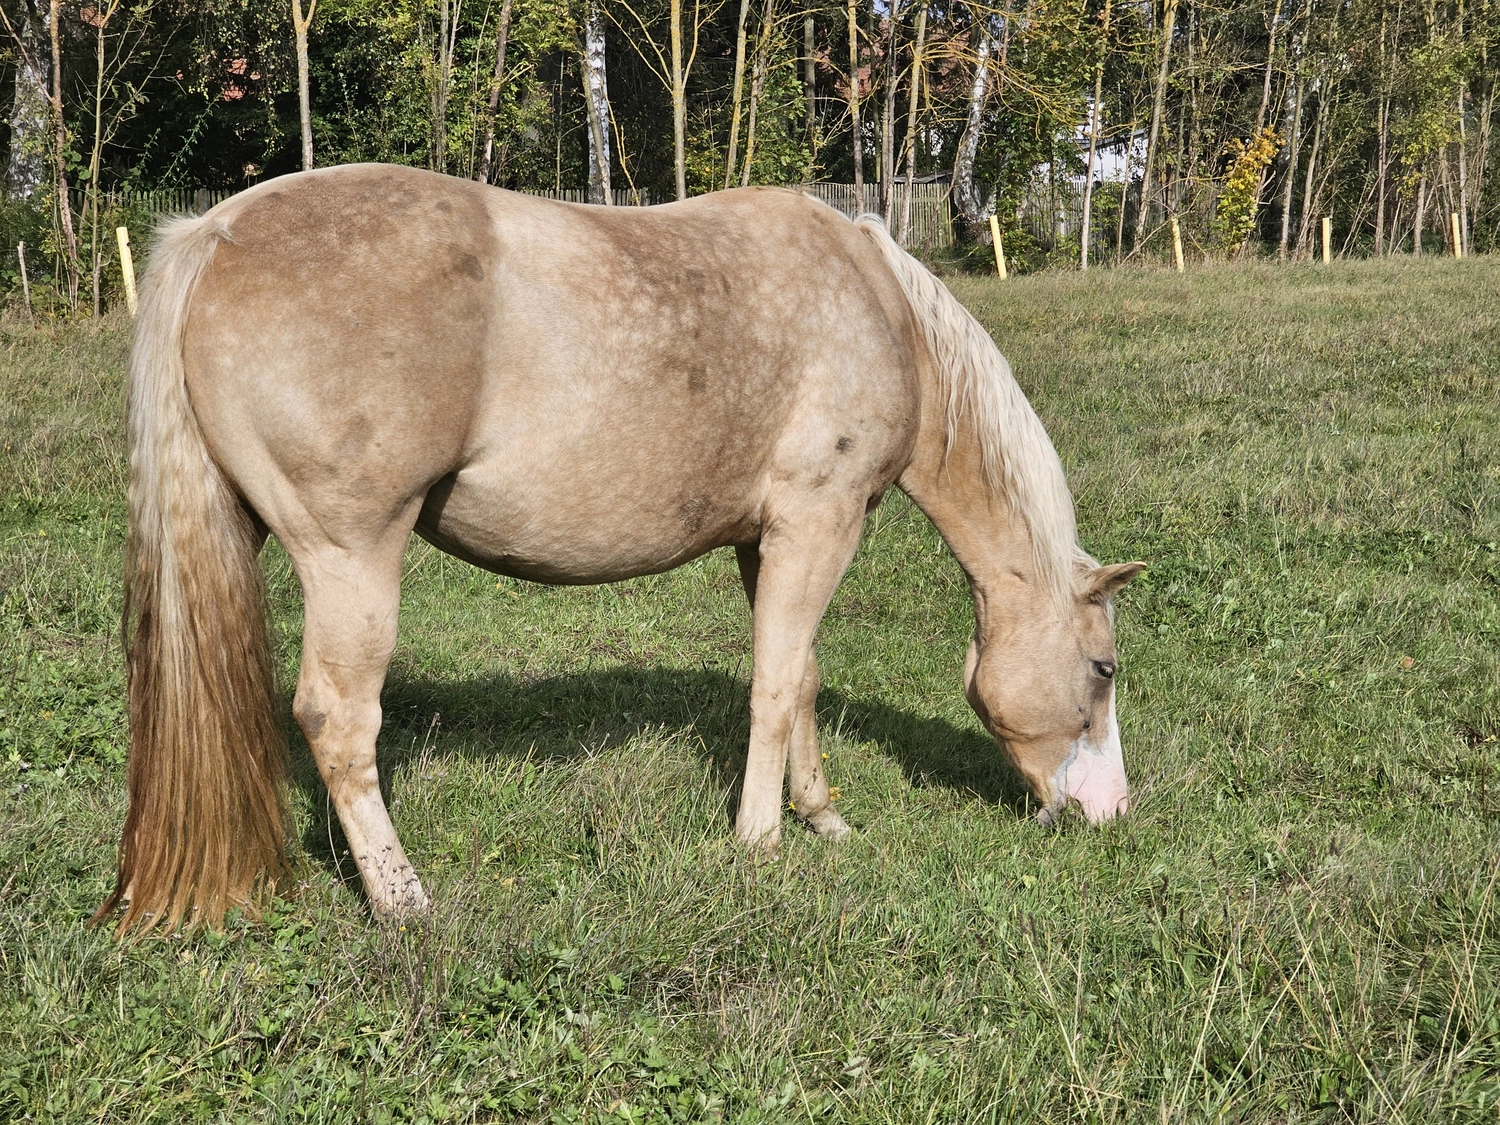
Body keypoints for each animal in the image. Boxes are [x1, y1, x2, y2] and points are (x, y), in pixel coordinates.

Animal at [97, 164, 1143, 933]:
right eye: (1103, 668)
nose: (1110, 812)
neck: (880, 307)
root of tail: (213, 233)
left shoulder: (770, 540)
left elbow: (799, 676)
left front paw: (822, 815)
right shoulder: (820, 521)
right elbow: (773, 687)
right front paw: (760, 841)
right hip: (351, 558)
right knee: (338, 719)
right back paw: (403, 900)